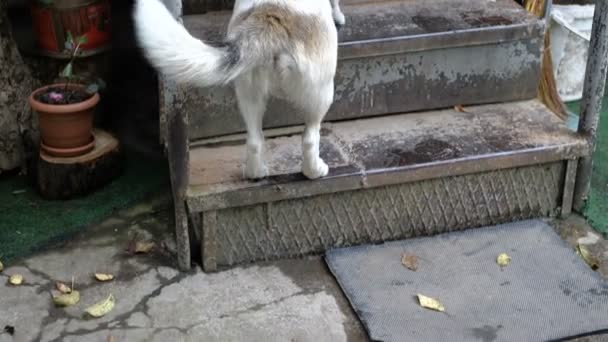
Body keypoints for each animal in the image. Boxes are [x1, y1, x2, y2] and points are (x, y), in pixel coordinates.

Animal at [134, 0, 344, 180]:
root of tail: (269, 16)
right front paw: (338, 16)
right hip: (321, 93)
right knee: (309, 138)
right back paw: (315, 171)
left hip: (248, 94)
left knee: (254, 141)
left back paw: (256, 173)